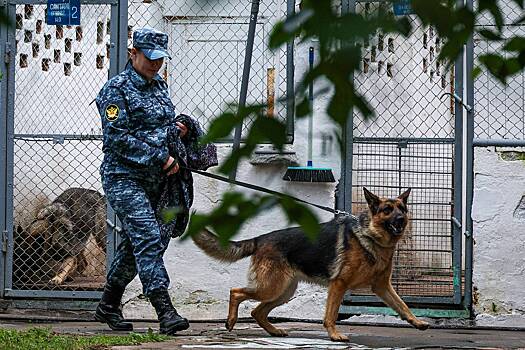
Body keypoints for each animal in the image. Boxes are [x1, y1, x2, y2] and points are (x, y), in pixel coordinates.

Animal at [190, 189, 428, 342]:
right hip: (272, 288)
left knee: (257, 311)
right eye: (387, 209)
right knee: (236, 292)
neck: (372, 237)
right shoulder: (339, 284)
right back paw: (231, 321)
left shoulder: (382, 287)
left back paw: (274, 331)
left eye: (402, 209)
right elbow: (331, 314)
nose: (401, 220)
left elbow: (402, 305)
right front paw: (334, 335)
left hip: (284, 292)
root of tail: (260, 238)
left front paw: (416, 322)